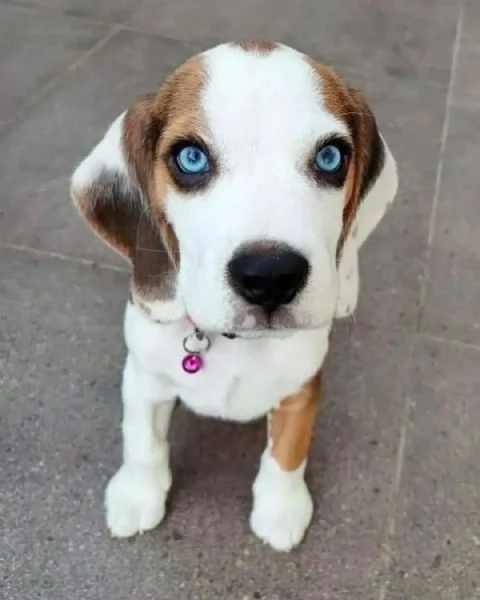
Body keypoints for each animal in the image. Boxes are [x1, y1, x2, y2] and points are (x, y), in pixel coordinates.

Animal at [70, 39, 398, 552]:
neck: (235, 343)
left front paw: (280, 509)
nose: (270, 276)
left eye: (330, 158)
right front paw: (138, 494)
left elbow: (288, 452)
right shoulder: (143, 376)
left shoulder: (301, 388)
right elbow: (143, 442)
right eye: (191, 158)